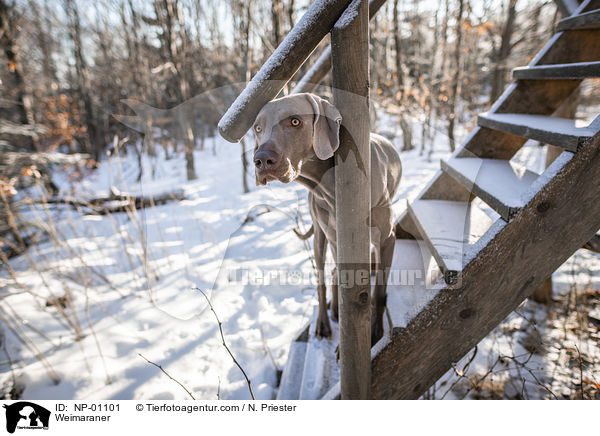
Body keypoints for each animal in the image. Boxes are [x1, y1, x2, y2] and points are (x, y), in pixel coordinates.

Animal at [251, 92, 400, 344]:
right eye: (258, 128)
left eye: (294, 121)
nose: (261, 160)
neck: (327, 185)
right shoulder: (337, 238)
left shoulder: (387, 238)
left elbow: (379, 290)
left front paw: (374, 332)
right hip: (322, 236)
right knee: (324, 276)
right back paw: (326, 319)